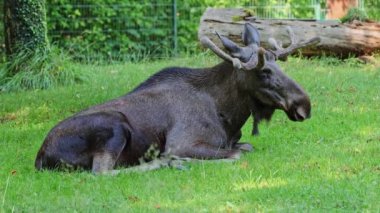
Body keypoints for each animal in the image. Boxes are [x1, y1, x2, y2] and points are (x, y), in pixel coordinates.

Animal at [35, 23, 320, 174]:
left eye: (277, 63)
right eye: (263, 71)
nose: (304, 105)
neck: (228, 115)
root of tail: (40, 158)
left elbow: (245, 146)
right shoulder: (182, 143)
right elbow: (236, 154)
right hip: (114, 127)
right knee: (102, 172)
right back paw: (164, 162)